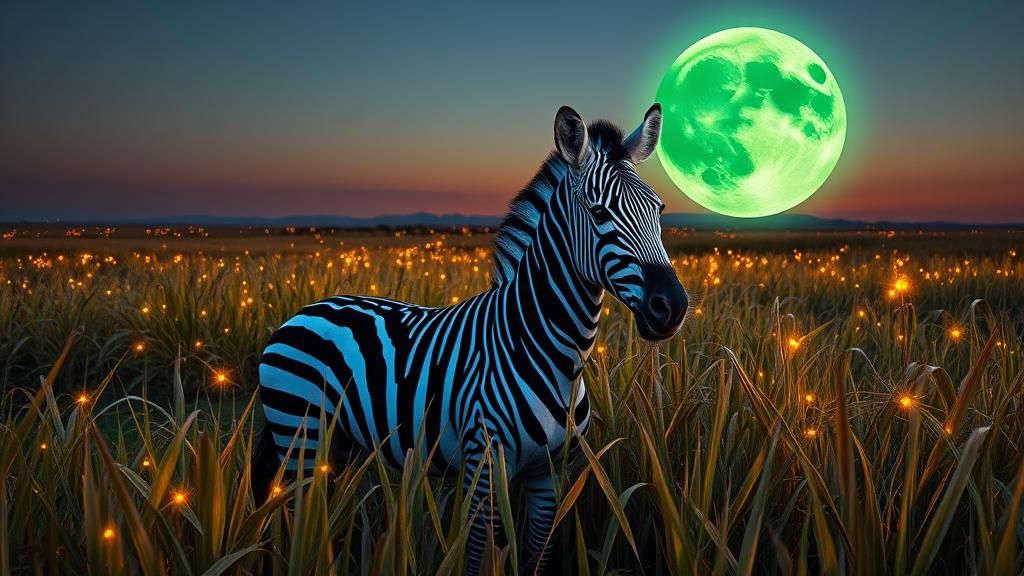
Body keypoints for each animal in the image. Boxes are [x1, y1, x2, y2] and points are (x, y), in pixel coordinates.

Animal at [253, 104, 688, 574]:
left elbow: (536, 557)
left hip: (339, 444)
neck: (546, 350)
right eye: (598, 213)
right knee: (296, 521)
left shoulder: (551, 476)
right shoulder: (484, 466)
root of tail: (307, 310)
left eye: (659, 210)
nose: (672, 306)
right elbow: (479, 556)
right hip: (300, 433)